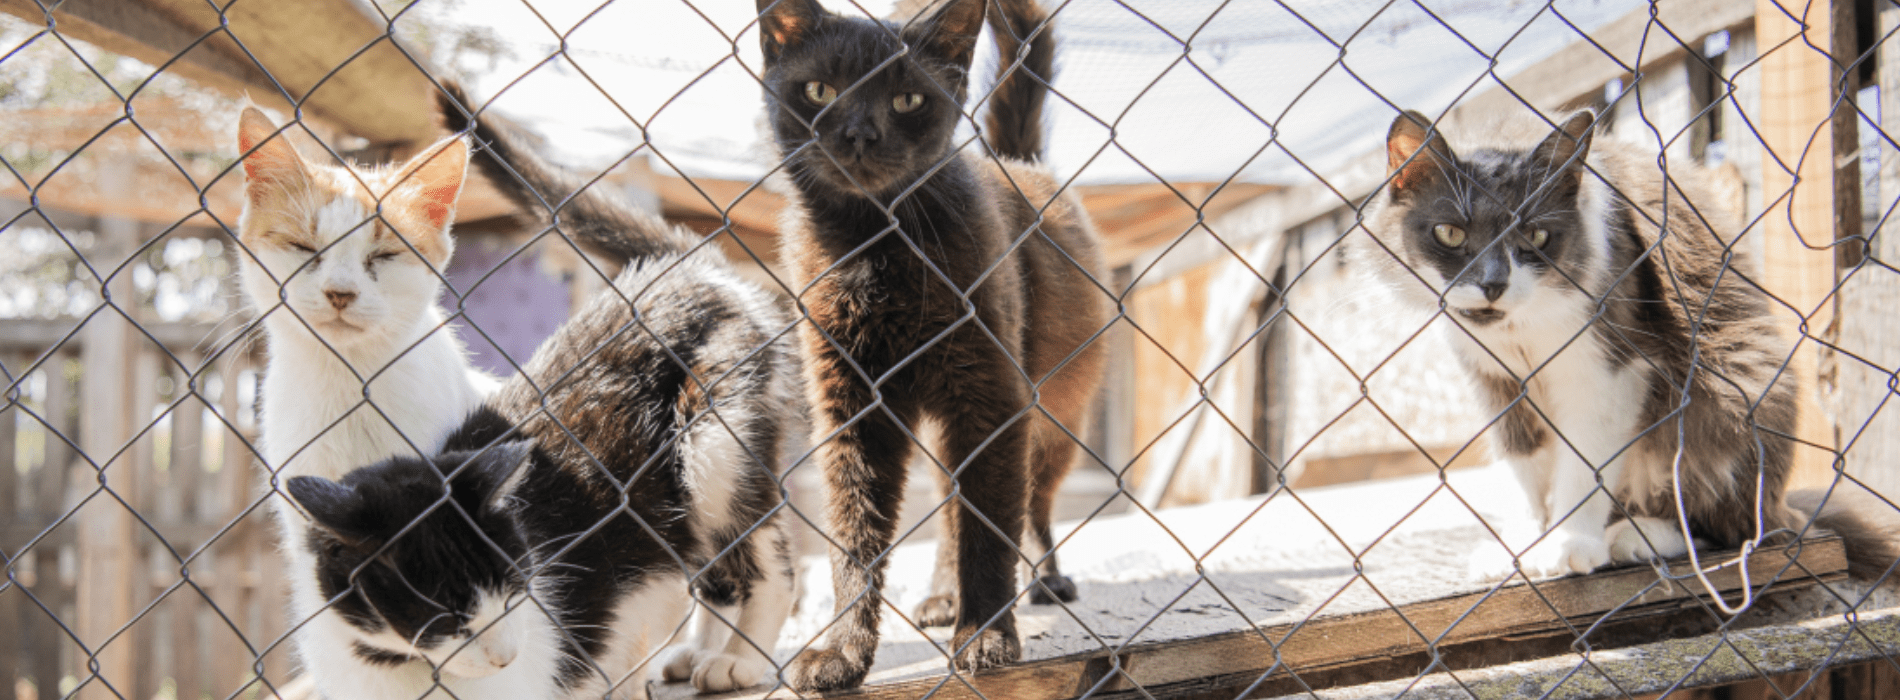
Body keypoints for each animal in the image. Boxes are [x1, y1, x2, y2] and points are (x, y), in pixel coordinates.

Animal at [281, 90, 801, 696]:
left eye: (514, 587)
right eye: (448, 616)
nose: (506, 654)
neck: (399, 669)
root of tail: (694, 270)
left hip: (714, 439)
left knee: (763, 549)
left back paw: (741, 659)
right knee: (707, 559)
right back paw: (701, 650)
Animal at [1360, 107, 1892, 578]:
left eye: (1536, 235)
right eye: (1450, 232)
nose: (1493, 284)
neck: (1519, 331)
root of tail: (1781, 504)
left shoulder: (1612, 367)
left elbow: (1584, 466)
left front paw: (1568, 544)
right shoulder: (1496, 380)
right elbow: (1522, 463)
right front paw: (1521, 544)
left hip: (1733, 385)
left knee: (1730, 527)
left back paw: (1637, 535)